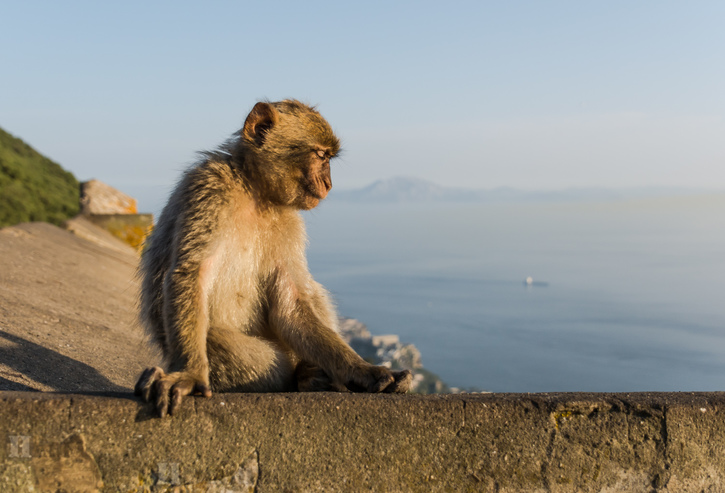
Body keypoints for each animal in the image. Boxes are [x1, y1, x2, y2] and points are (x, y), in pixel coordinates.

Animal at [133, 100, 410, 416]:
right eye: (320, 156)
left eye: (328, 158)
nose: (329, 184)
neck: (256, 191)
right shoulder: (209, 187)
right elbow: (192, 273)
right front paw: (189, 374)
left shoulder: (290, 223)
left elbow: (291, 303)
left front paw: (362, 371)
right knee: (221, 342)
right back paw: (303, 377)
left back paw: (312, 373)